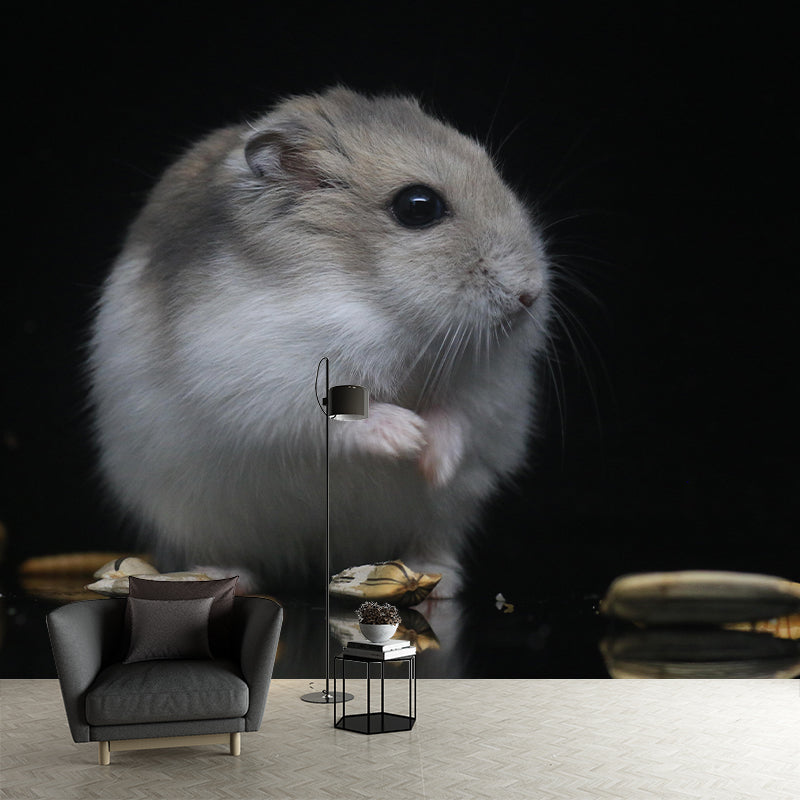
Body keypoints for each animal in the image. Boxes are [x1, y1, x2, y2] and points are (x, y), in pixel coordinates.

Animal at [88, 87, 550, 597]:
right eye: (418, 206)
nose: (530, 294)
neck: (381, 305)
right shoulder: (263, 386)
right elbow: (335, 417)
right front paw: (407, 435)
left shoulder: (492, 388)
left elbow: (462, 413)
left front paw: (433, 459)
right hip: (192, 514)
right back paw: (221, 578)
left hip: (442, 516)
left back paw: (438, 578)